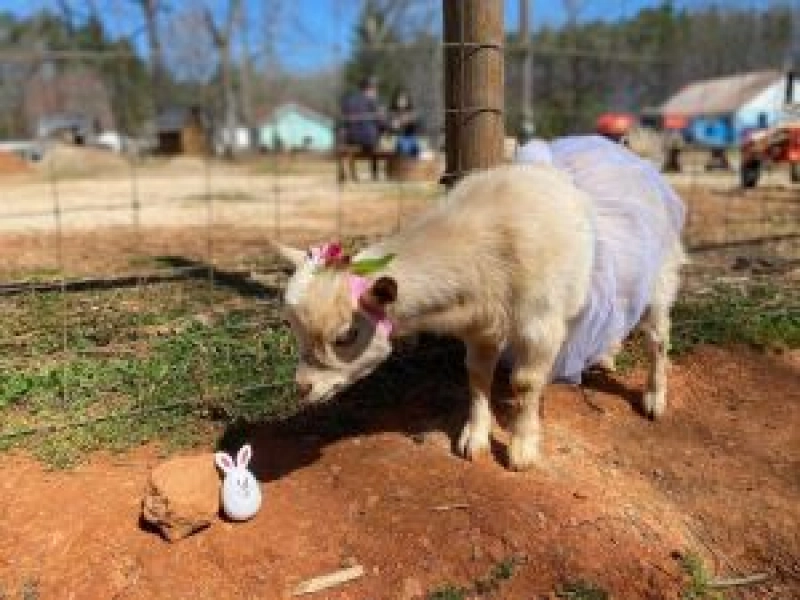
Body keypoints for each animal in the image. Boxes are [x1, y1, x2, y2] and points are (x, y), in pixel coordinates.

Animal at [277, 136, 685, 470]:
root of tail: (630, 154)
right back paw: (605, 355)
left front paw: (522, 448)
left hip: (659, 279)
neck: (485, 236)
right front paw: (473, 439)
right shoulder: (481, 325)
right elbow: (476, 376)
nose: (302, 388)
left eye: (345, 335)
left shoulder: (540, 325)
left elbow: (524, 383)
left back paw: (654, 398)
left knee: (658, 339)